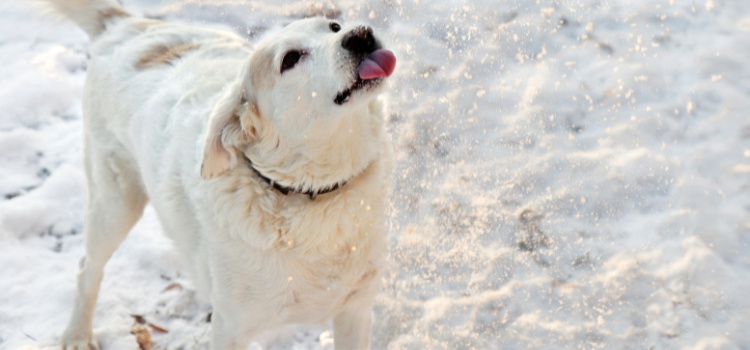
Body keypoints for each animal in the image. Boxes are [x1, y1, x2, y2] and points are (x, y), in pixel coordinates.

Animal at [36, 1, 400, 348]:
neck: (310, 194)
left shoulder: (354, 311)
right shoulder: (230, 328)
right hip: (113, 204)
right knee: (87, 269)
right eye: (290, 59)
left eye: (334, 26)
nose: (361, 35)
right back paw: (76, 334)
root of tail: (124, 24)